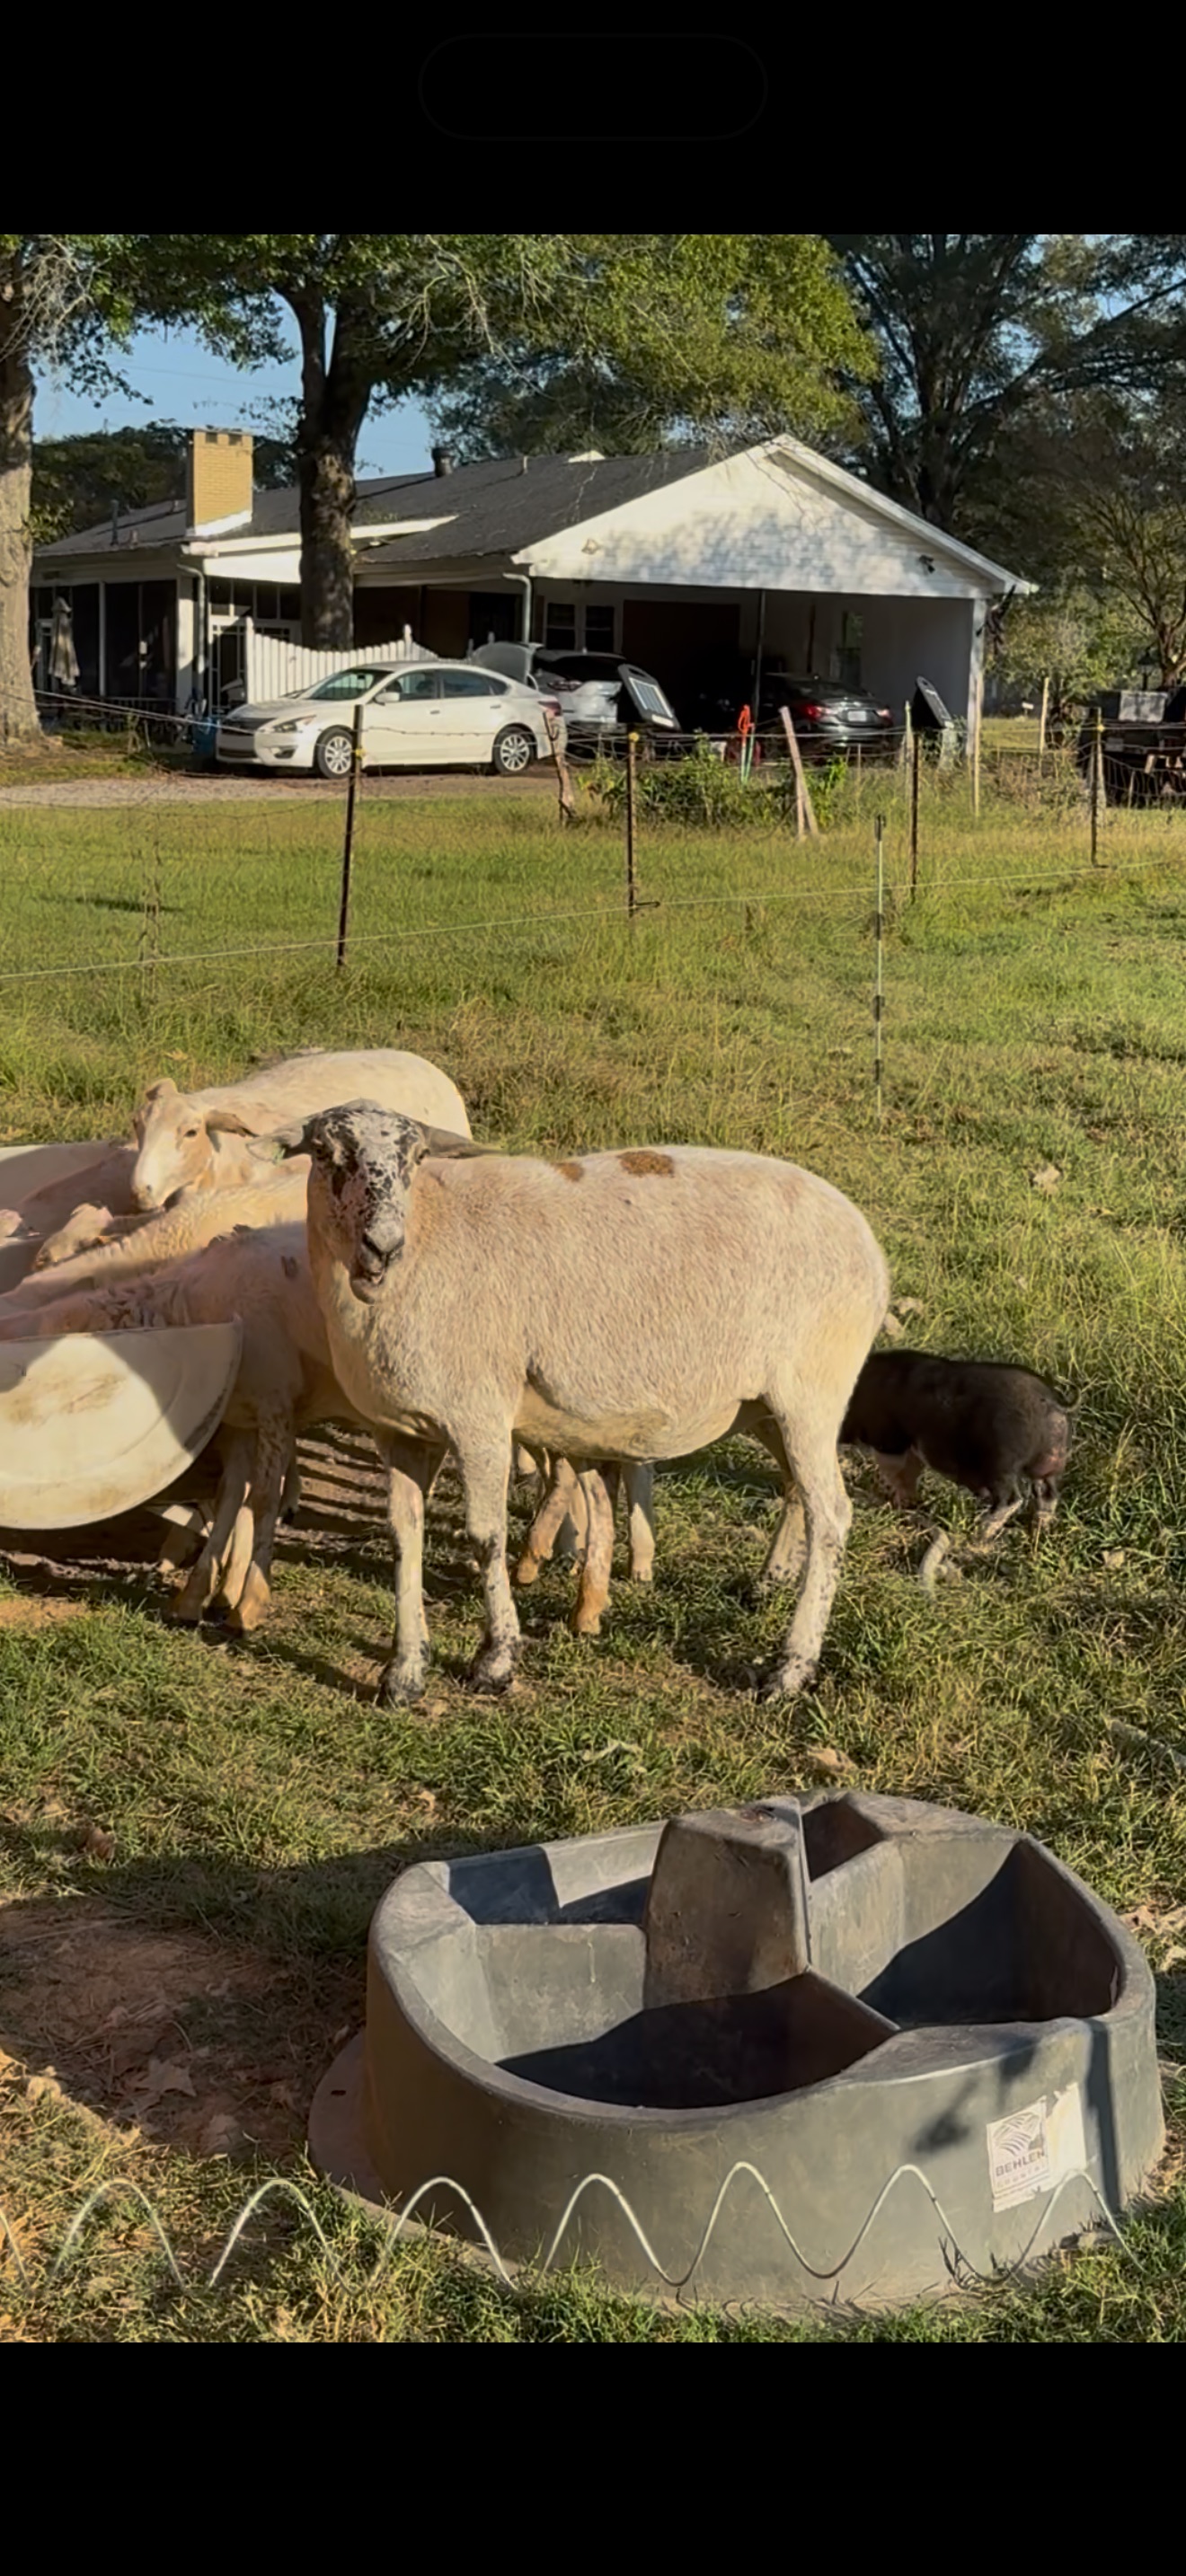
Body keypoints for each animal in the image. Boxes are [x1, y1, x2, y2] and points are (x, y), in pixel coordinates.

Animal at [256, 1103, 889, 1705]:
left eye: (416, 1157)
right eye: (324, 1153)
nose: (382, 1247)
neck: (427, 1236)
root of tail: (866, 1238)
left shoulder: (479, 1416)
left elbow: (485, 1537)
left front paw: (496, 1659)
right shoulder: (403, 1431)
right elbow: (403, 1538)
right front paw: (405, 1671)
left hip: (813, 1389)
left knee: (832, 1515)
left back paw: (790, 1668)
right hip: (765, 1404)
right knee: (797, 1491)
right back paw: (768, 1582)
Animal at [840, 1350, 1072, 1586]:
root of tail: (1051, 1404)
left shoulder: (889, 1440)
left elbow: (897, 1472)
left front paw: (898, 1503)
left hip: (1000, 1463)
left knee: (1012, 1499)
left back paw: (978, 1536)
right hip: (1049, 1464)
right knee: (1048, 1495)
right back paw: (1040, 1530)